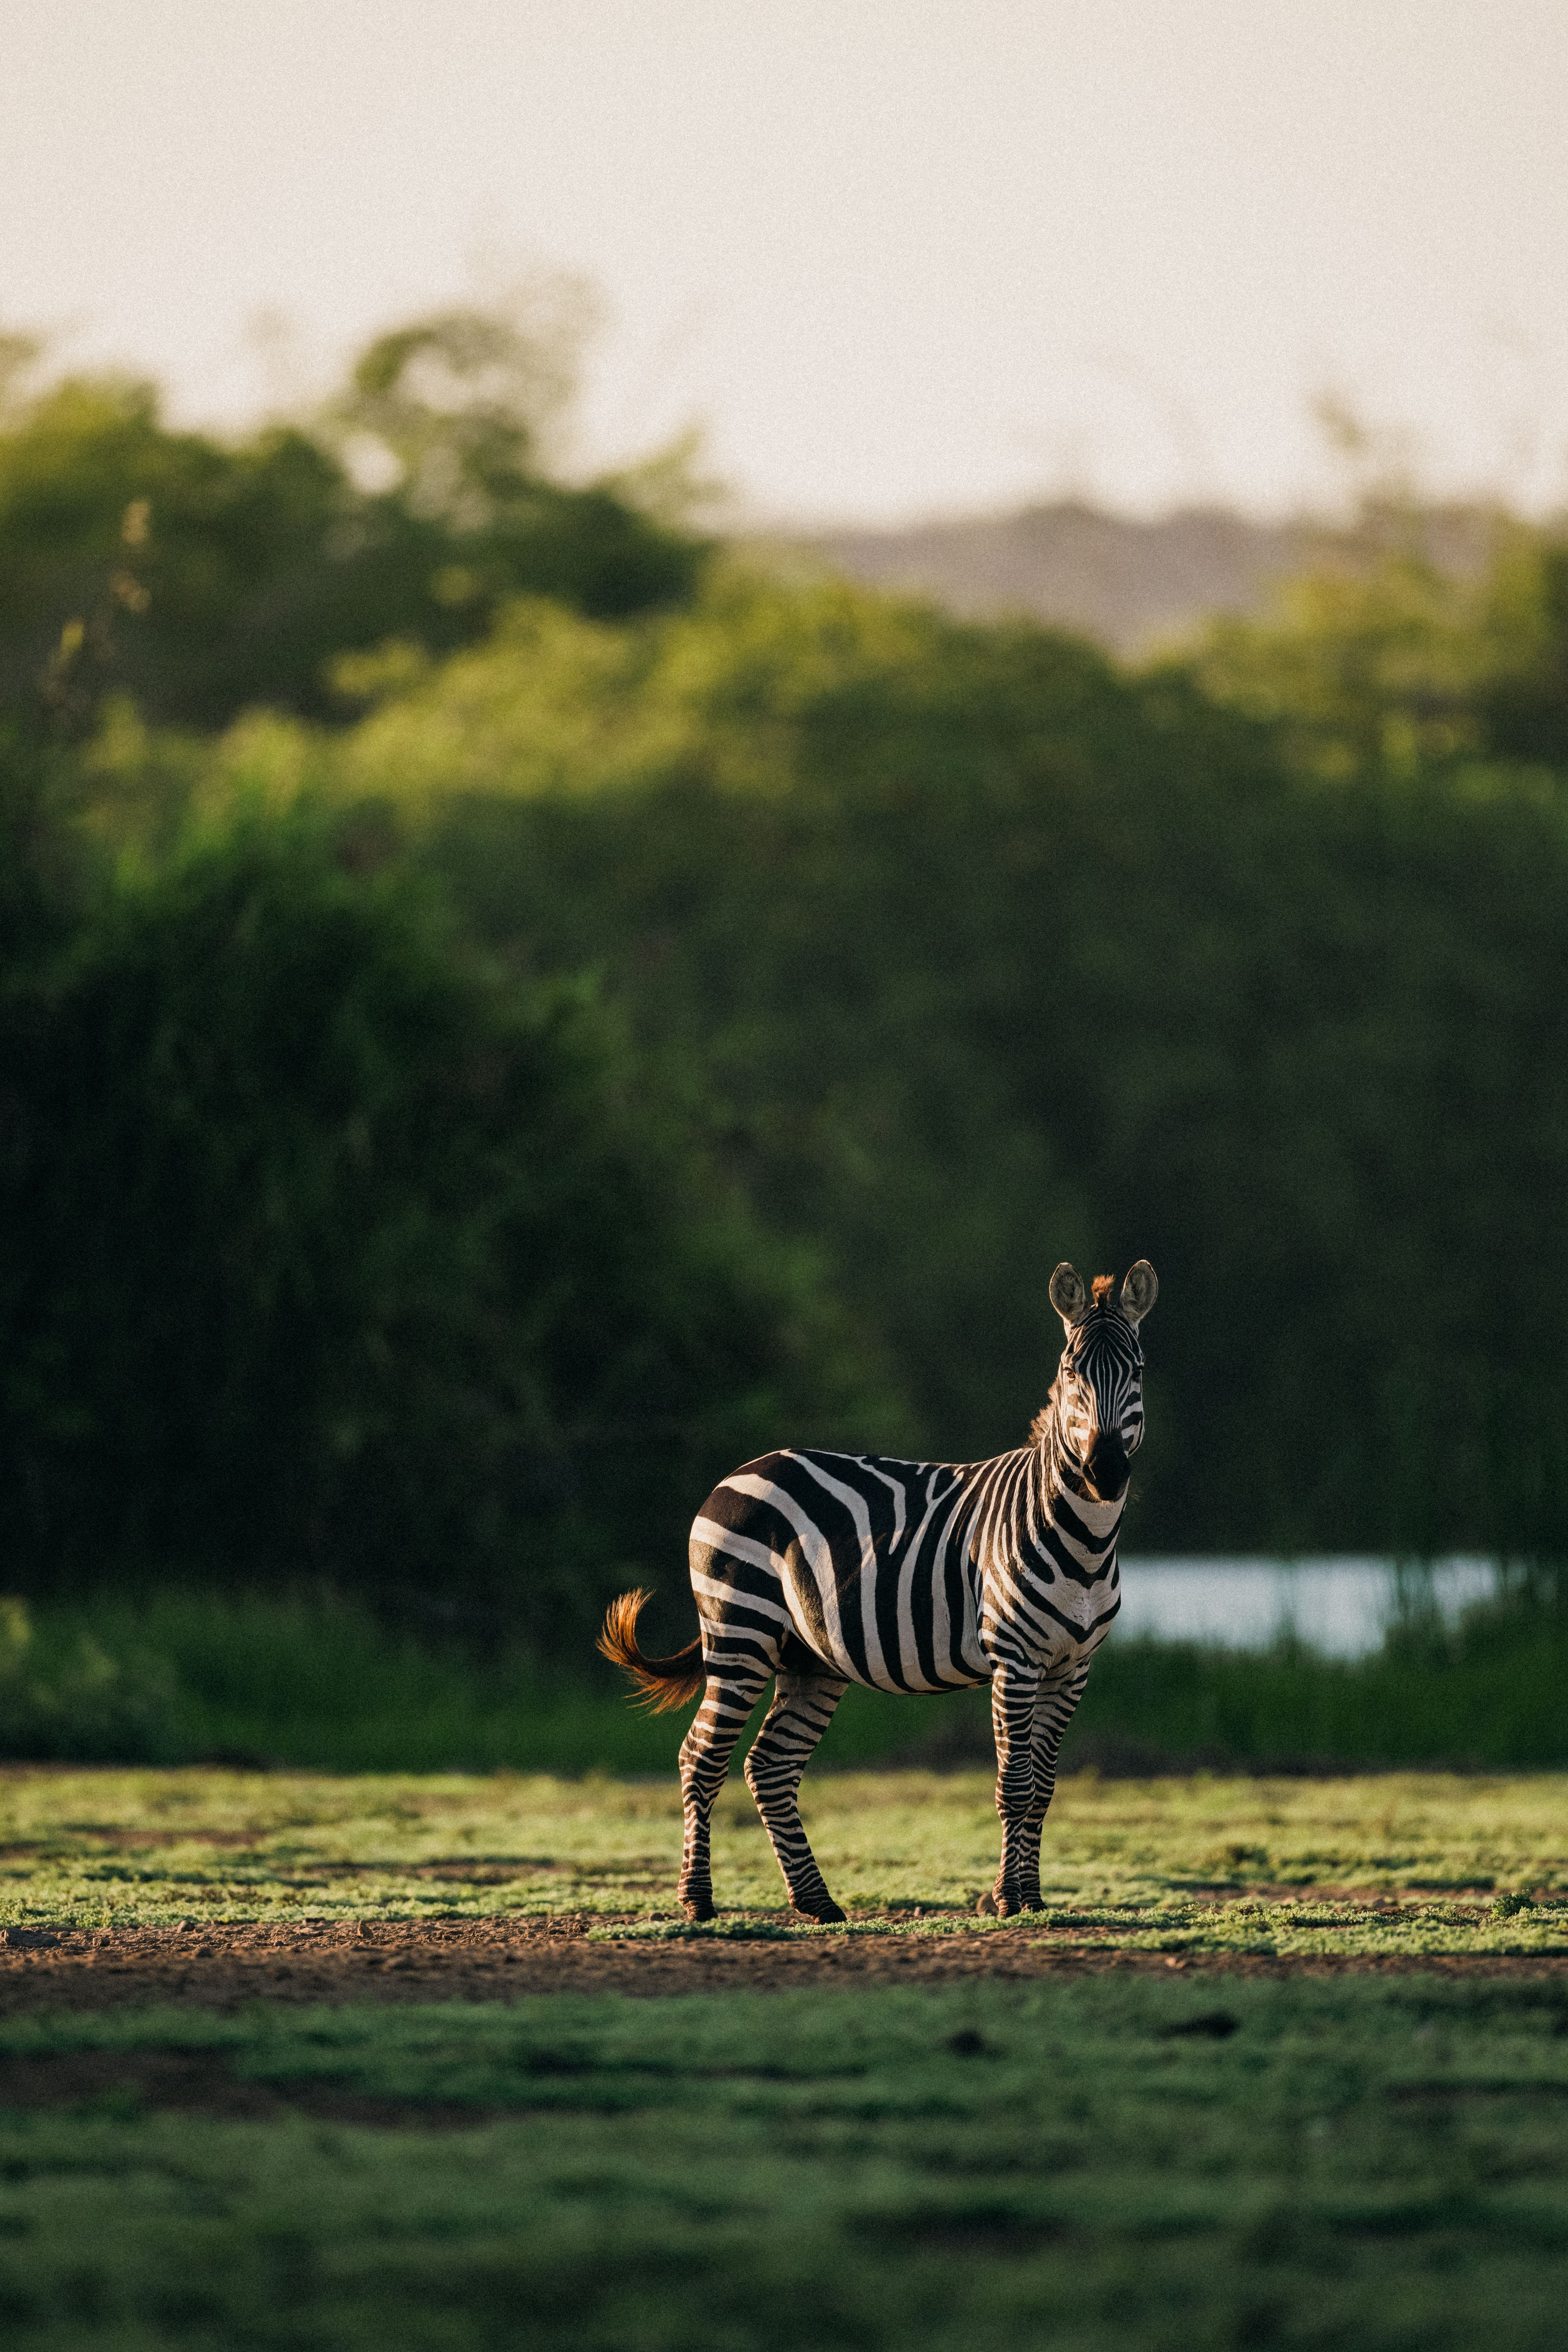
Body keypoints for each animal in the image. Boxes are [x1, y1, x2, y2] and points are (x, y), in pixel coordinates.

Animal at [599, 1259, 1157, 1923]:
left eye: (1138, 1370)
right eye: (1071, 1372)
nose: (1105, 1471)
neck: (1083, 1539)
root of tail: (739, 1472)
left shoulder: (1072, 1667)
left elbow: (1044, 1788)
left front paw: (1032, 1896)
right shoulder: (1014, 1658)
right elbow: (1015, 1784)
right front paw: (1009, 1898)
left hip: (808, 1658)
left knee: (770, 1766)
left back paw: (816, 1902)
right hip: (739, 1631)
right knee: (701, 1757)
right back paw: (698, 1900)